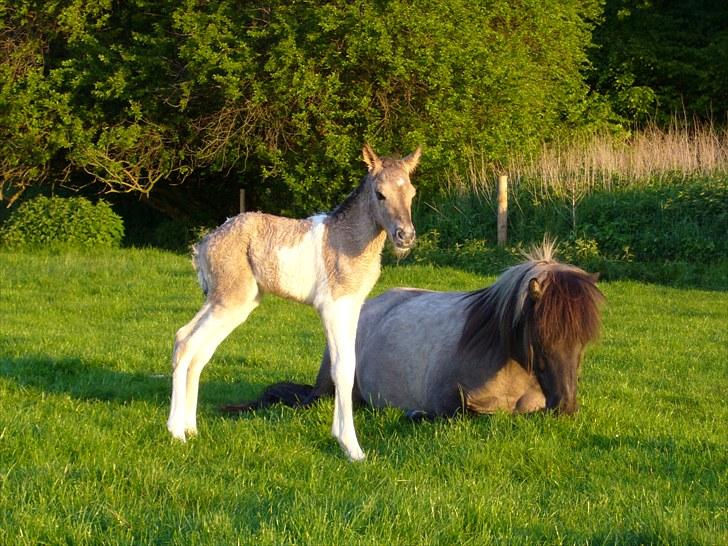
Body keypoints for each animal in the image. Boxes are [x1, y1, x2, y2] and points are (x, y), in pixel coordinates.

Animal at [166, 142, 420, 456]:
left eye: (412, 193)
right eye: (380, 194)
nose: (405, 236)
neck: (348, 240)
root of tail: (204, 244)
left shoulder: (352, 307)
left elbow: (349, 364)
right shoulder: (333, 307)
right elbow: (342, 368)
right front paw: (351, 447)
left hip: (232, 302)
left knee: (193, 344)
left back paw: (191, 428)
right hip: (229, 300)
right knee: (188, 344)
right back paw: (176, 432)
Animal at [222, 242, 604, 416]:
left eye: (584, 341)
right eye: (540, 336)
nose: (566, 404)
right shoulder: (450, 401)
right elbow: (459, 413)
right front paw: (416, 414)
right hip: (330, 388)